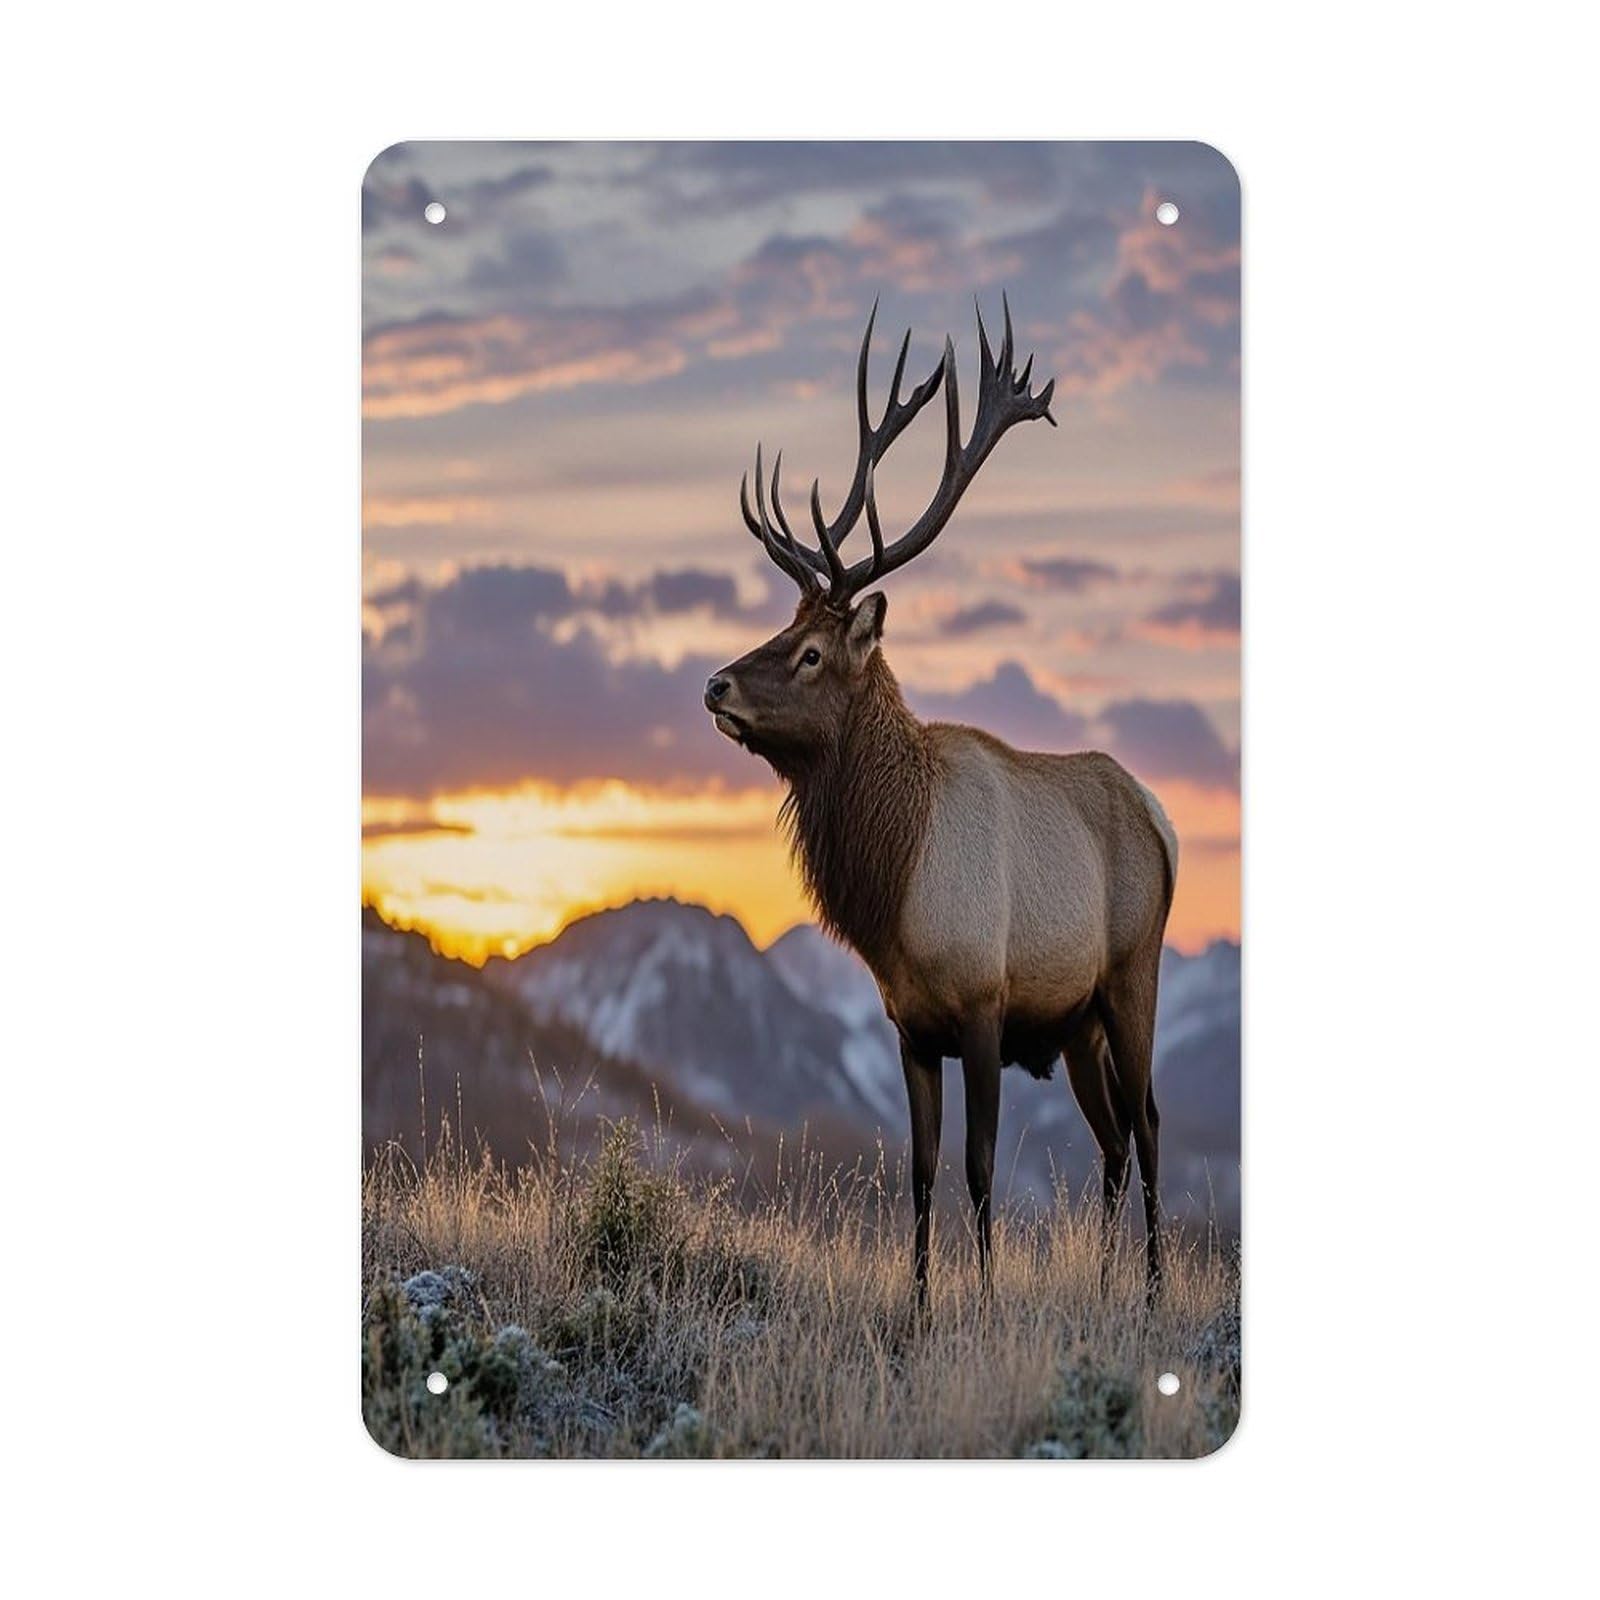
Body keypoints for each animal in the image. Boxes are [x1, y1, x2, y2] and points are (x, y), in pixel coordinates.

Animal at [703, 299, 1178, 1306]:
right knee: (1113, 1140)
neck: (896, 887)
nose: (714, 684)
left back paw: (1153, 1293)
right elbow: (919, 1173)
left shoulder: (985, 1007)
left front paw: (986, 1304)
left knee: (1151, 1123)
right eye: (780, 628)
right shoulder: (912, 1028)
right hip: (1078, 1022)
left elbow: (982, 1166)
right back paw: (1107, 1287)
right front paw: (917, 1310)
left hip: (1131, 975)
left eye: (811, 652)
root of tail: (1162, 820)